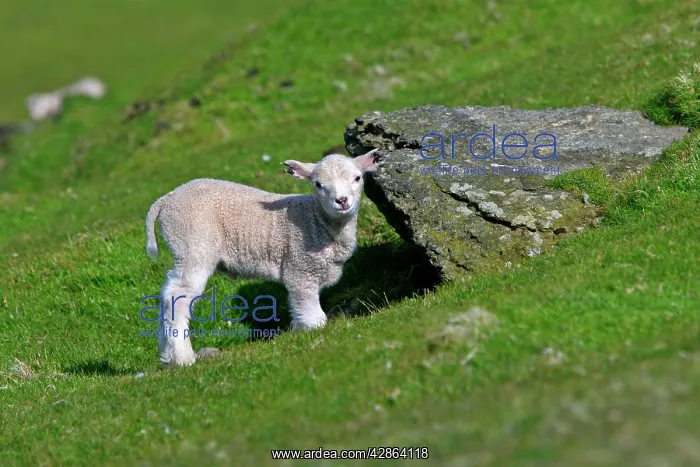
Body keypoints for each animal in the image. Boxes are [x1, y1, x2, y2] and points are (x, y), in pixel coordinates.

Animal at [145, 148, 384, 366]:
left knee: (167, 293)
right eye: (318, 184)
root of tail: (167, 199)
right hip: (194, 245)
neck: (317, 220)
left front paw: (297, 333)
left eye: (357, 178)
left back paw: (166, 356)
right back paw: (183, 357)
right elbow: (312, 313)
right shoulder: (300, 269)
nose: (342, 201)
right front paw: (313, 332)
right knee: (178, 296)